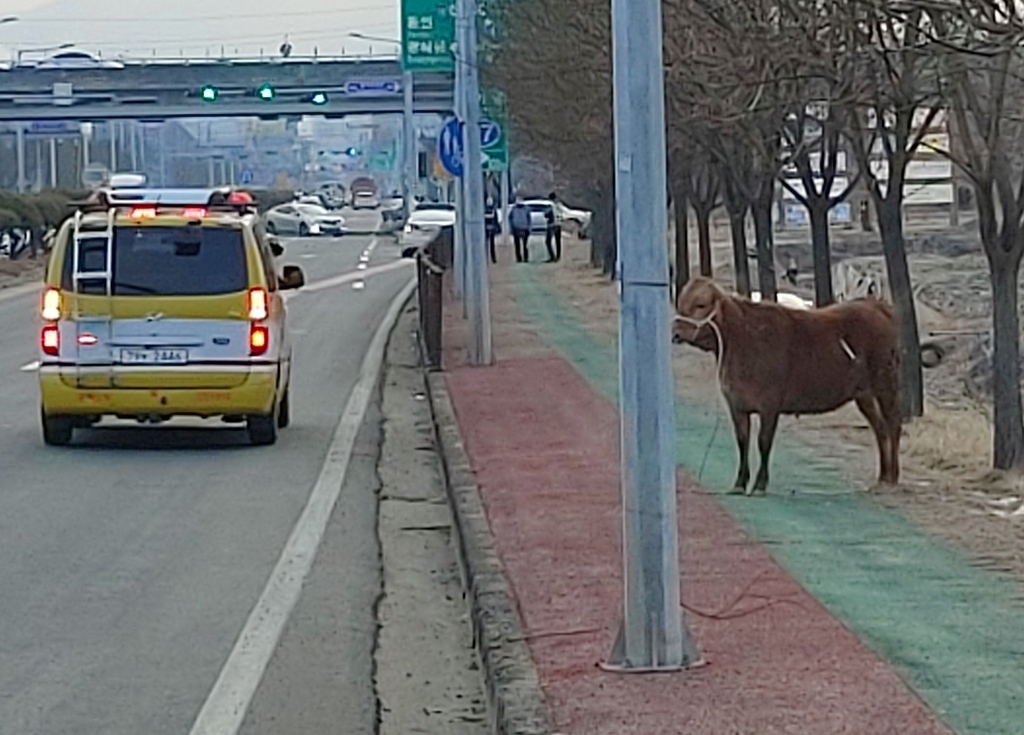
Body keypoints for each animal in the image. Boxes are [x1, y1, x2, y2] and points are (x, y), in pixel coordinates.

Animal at [675, 278, 901, 497]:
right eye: (680, 303)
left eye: (700, 304)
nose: (676, 333)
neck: (742, 341)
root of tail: (875, 304)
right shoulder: (736, 405)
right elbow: (743, 442)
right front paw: (739, 483)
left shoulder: (769, 404)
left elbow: (763, 442)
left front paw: (760, 485)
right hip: (864, 394)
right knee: (880, 428)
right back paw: (883, 477)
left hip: (886, 383)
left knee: (893, 425)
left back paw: (893, 477)